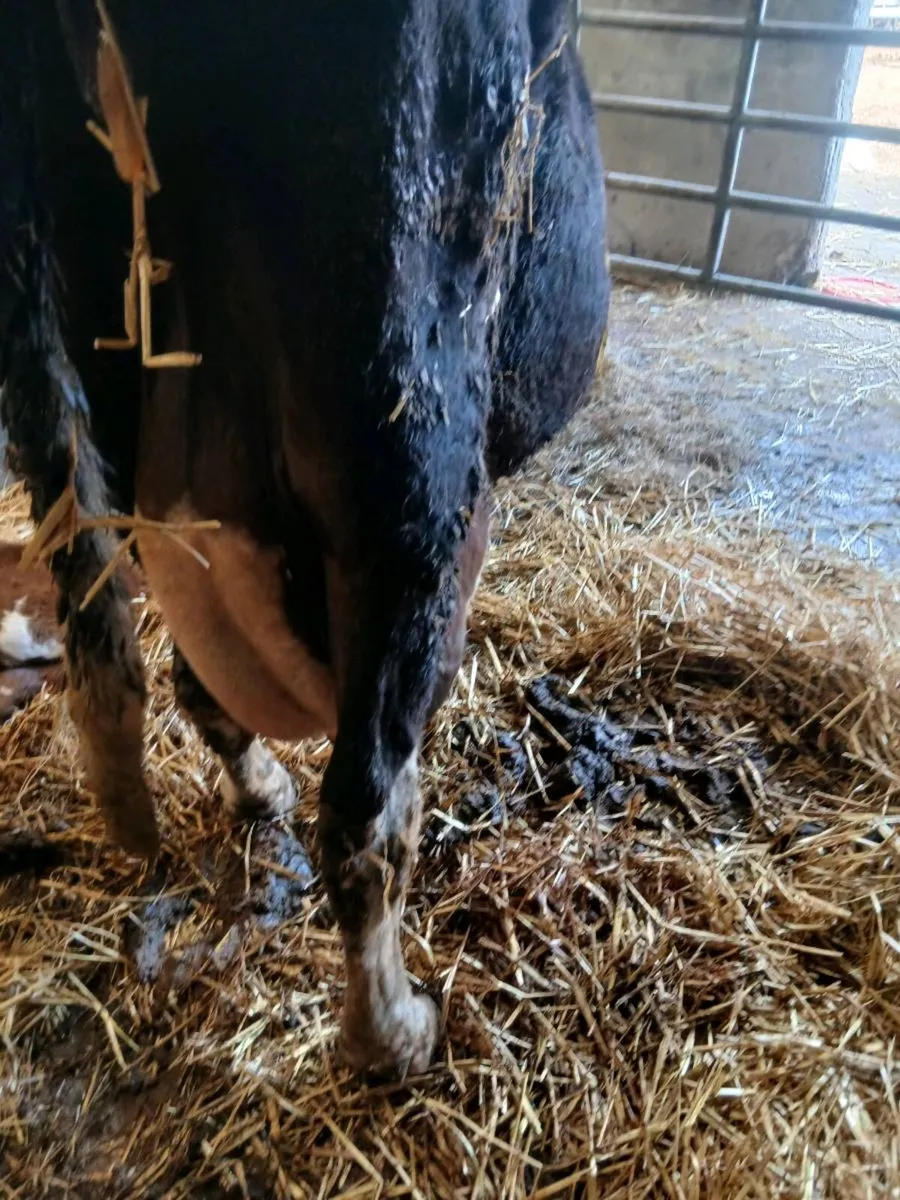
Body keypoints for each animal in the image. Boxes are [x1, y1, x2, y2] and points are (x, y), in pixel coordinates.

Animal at [0, 1, 609, 1077]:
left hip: (65, 375)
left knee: (128, 673)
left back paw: (239, 799)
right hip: (404, 430)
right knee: (365, 805)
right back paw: (393, 1033)